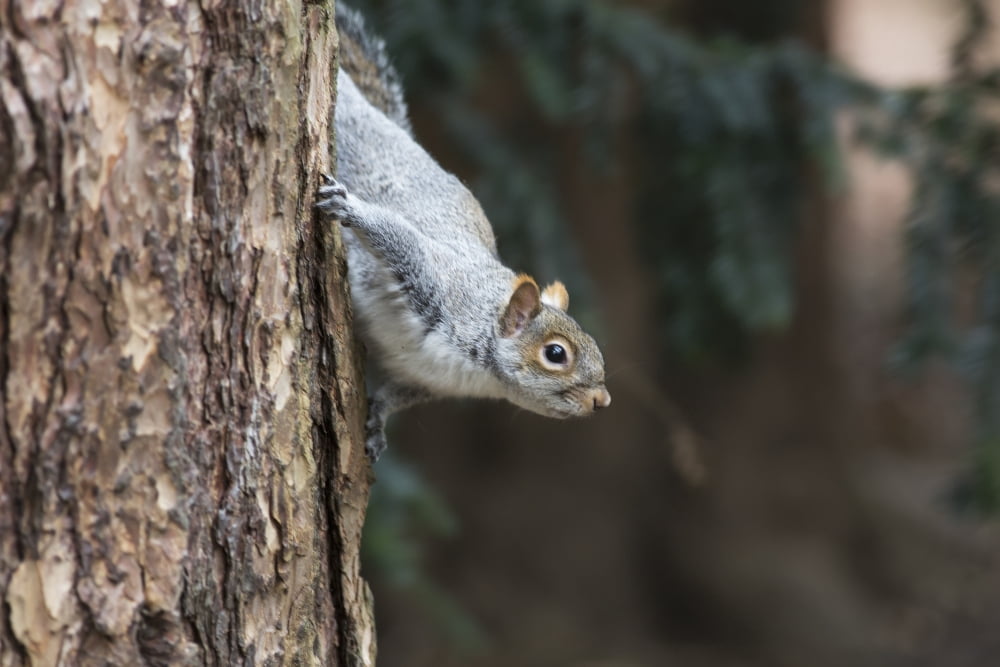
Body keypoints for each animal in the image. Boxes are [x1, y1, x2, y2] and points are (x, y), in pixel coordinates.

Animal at [319, 6, 611, 460]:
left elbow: (392, 398)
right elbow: (399, 238)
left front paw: (378, 423)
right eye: (556, 353)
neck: (477, 366)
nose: (602, 401)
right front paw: (351, 208)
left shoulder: (421, 380)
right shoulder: (440, 282)